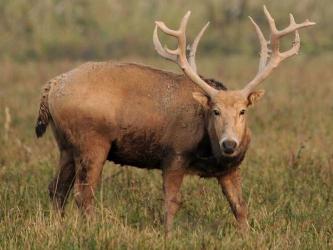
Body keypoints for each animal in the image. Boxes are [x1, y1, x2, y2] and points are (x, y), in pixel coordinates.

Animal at [35, 6, 314, 236]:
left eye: (243, 111)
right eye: (215, 111)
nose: (229, 144)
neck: (208, 147)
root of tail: (53, 86)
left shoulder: (230, 169)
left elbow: (239, 206)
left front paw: (249, 237)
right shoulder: (174, 154)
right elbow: (171, 202)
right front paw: (168, 236)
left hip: (66, 145)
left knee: (56, 189)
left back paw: (58, 228)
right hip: (93, 141)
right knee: (84, 193)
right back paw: (91, 230)